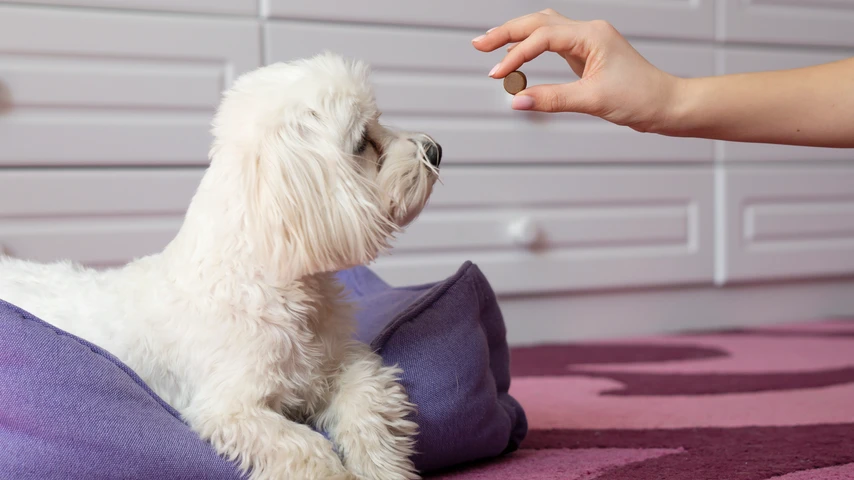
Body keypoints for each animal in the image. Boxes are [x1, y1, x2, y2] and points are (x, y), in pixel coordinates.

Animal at [0, 52, 442, 480]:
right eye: (362, 141)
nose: (435, 149)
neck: (279, 286)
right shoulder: (230, 409)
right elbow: (303, 447)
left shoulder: (341, 363)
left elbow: (368, 401)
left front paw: (382, 467)